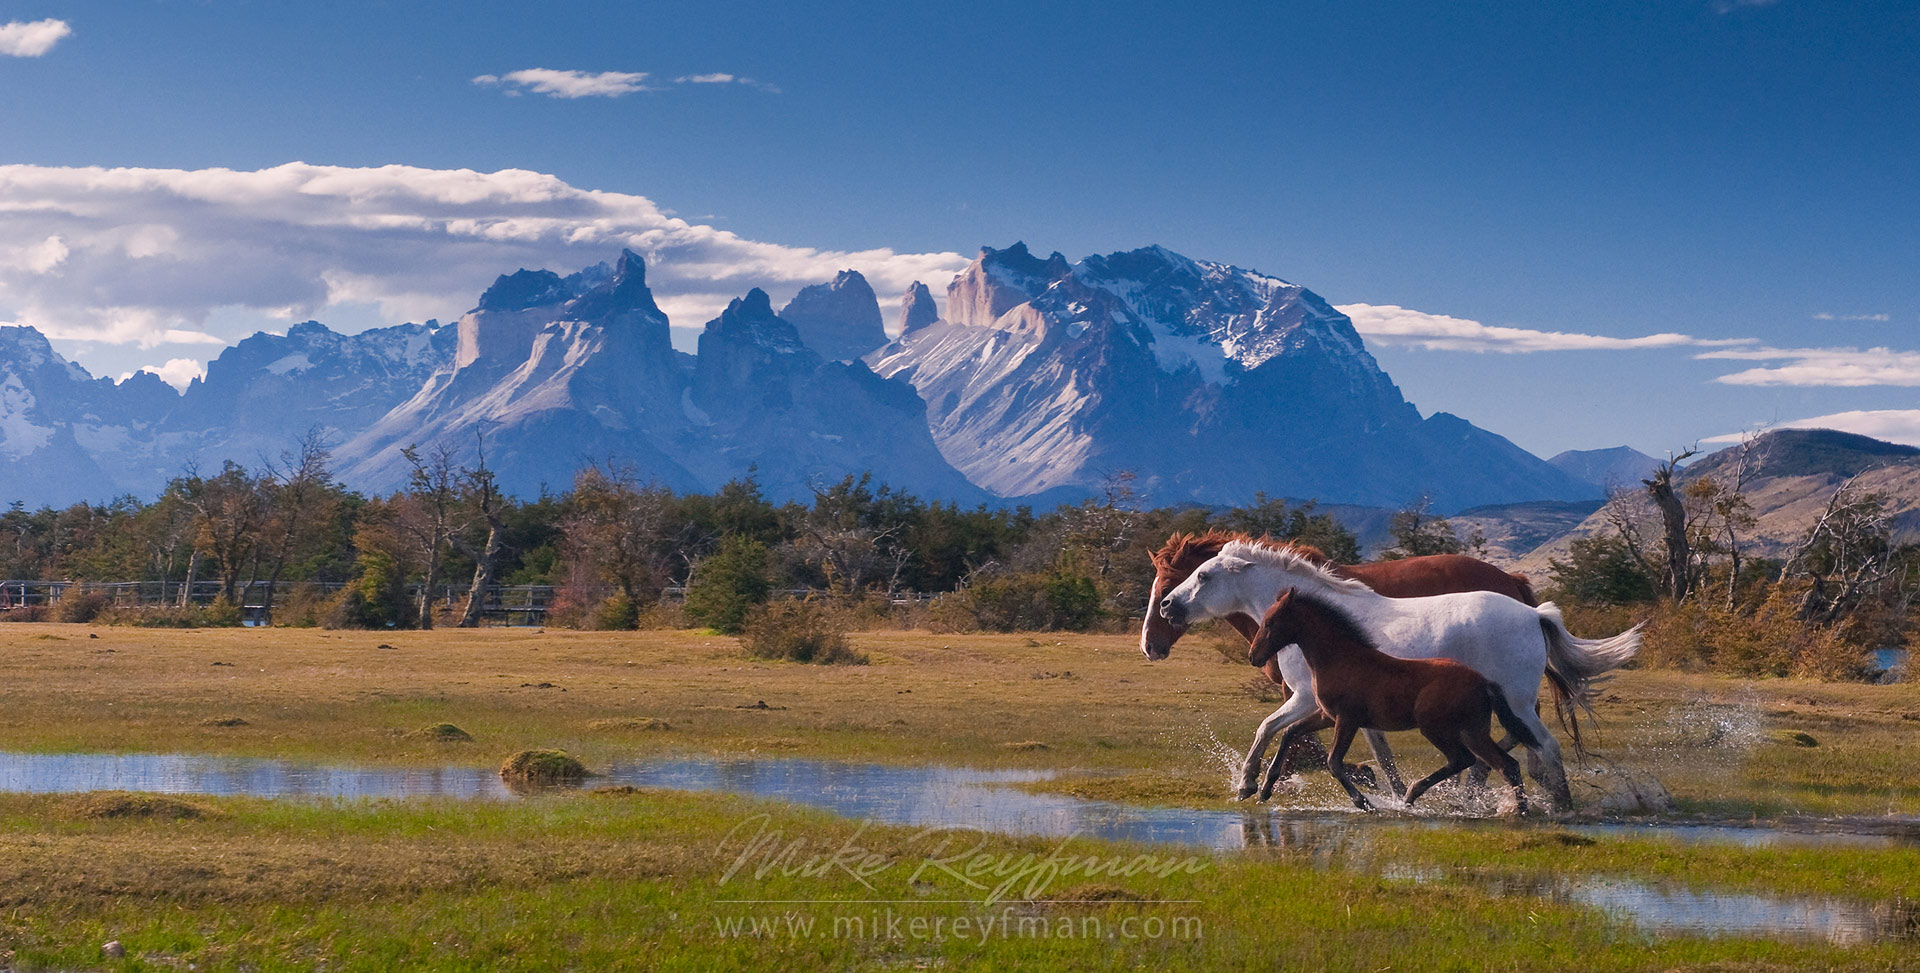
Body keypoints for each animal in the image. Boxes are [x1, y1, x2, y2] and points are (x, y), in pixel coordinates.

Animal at [1250, 587, 1538, 814]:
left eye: (1270, 622)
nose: (1254, 656)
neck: (1339, 659)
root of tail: (1484, 682)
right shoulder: (1327, 716)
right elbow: (1291, 731)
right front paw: (1263, 790)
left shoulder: (1347, 719)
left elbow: (1333, 762)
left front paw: (1364, 803)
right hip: (1473, 730)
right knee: (1506, 764)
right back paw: (1519, 810)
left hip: (1435, 727)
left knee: (1463, 759)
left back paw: (1411, 795)